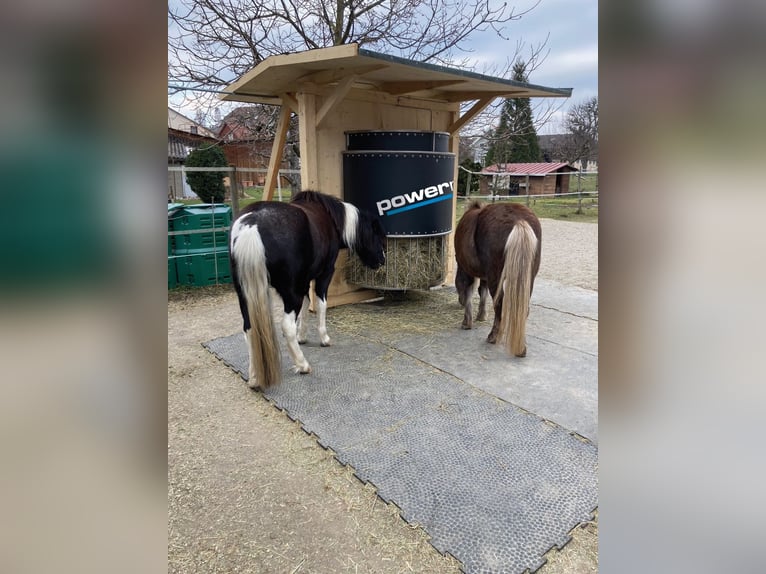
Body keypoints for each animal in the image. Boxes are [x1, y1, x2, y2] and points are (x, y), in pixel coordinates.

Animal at [229, 190, 386, 389]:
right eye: (378, 236)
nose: (382, 261)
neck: (332, 219)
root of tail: (251, 225)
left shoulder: (303, 282)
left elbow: (306, 305)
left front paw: (302, 337)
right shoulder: (324, 274)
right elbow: (320, 304)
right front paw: (324, 339)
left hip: (245, 295)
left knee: (249, 329)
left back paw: (255, 378)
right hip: (290, 294)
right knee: (287, 326)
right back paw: (303, 365)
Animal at [454, 200, 542, 357]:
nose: (459, 302)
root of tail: (518, 221)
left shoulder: (465, 269)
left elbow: (468, 290)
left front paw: (466, 322)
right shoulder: (485, 276)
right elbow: (482, 291)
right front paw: (481, 315)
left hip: (496, 277)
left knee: (499, 305)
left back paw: (493, 337)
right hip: (528, 278)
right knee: (523, 308)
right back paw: (521, 348)